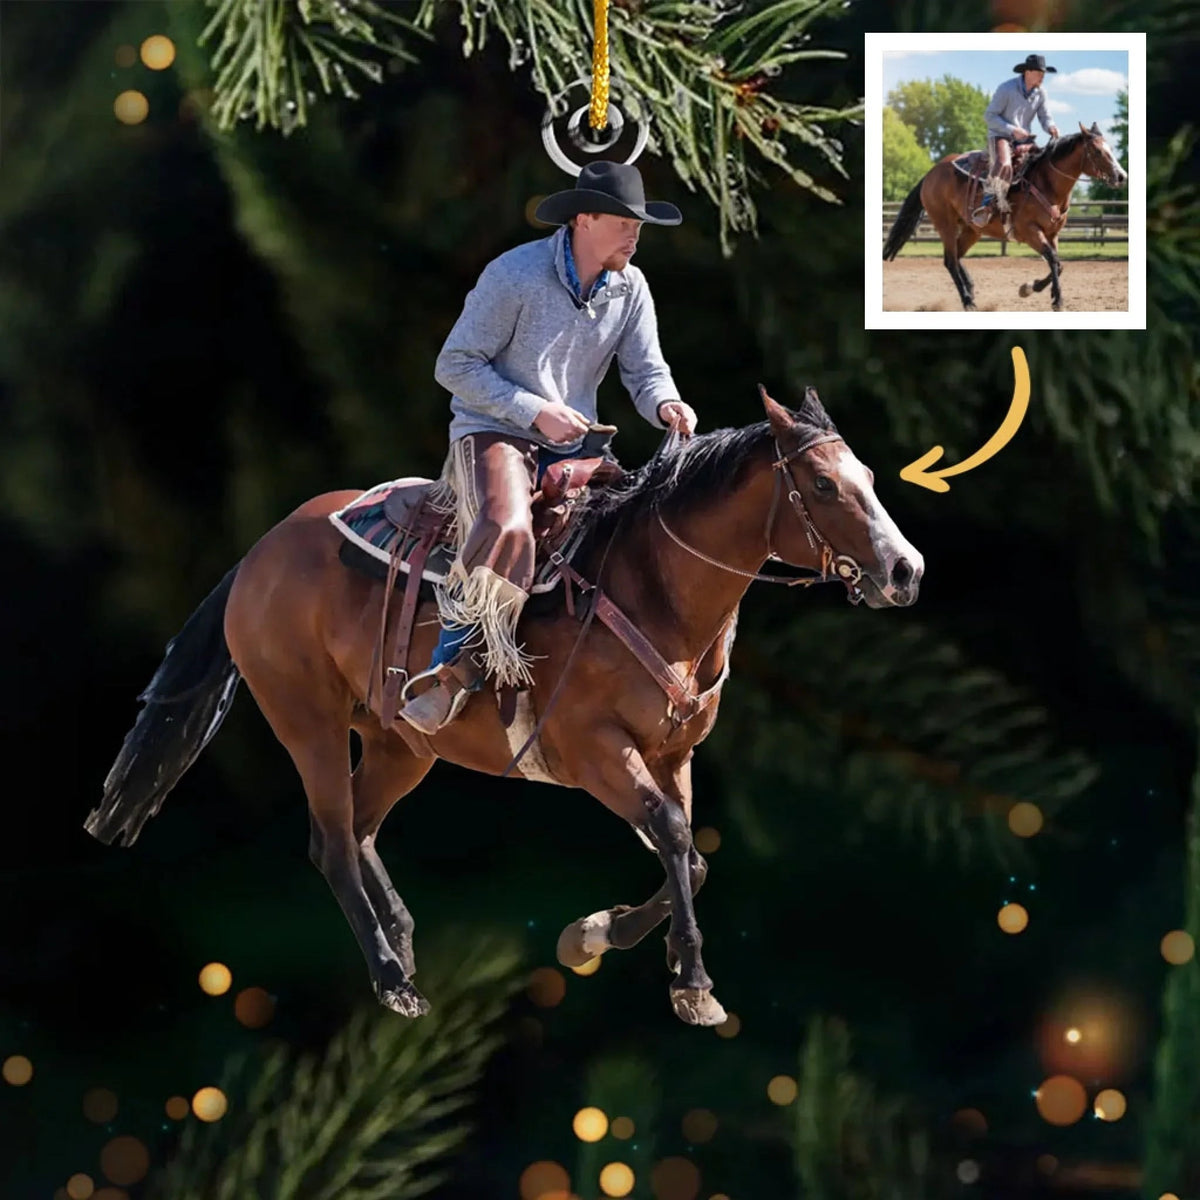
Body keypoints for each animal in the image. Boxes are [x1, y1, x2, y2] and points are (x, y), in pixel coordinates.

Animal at [86, 387, 924, 1027]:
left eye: (867, 473)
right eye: (823, 486)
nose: (905, 570)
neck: (651, 585)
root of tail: (261, 551)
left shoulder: (672, 754)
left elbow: (693, 854)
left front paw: (594, 934)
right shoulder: (596, 750)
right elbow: (672, 833)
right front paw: (689, 983)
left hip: (398, 745)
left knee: (359, 828)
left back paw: (402, 939)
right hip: (311, 727)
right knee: (331, 842)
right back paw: (391, 979)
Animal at [883, 122, 1127, 312]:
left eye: (1110, 147)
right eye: (1097, 151)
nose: (1121, 176)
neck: (1045, 182)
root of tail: (931, 173)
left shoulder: (1053, 233)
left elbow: (1058, 264)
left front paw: (1032, 288)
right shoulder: (1030, 231)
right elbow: (1053, 260)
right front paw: (1055, 299)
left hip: (972, 229)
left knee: (957, 256)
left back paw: (971, 288)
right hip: (945, 224)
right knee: (950, 260)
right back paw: (968, 301)